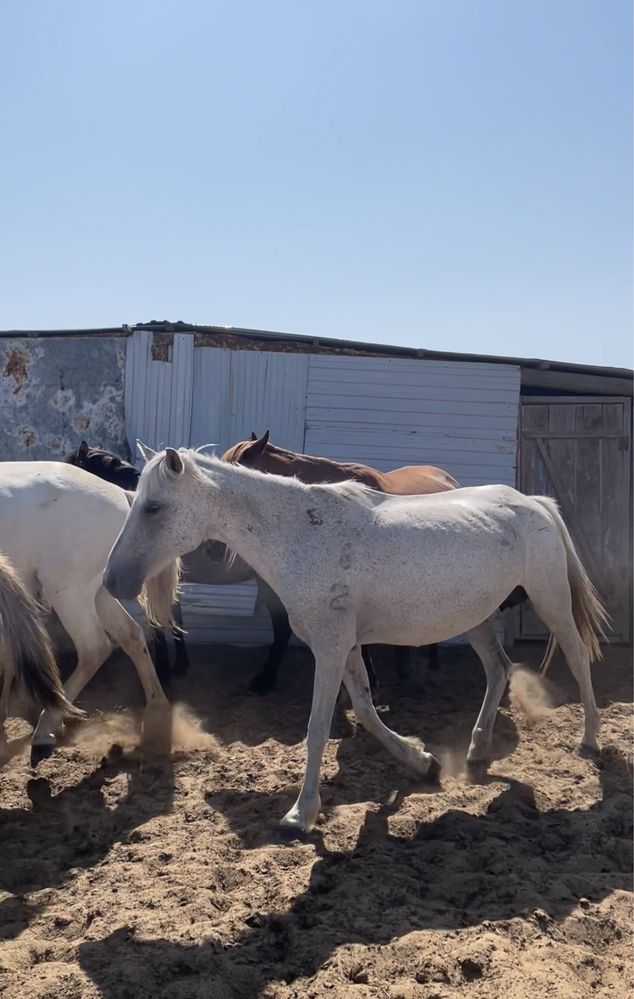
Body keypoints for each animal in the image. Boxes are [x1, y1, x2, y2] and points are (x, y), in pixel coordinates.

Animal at [0, 462, 177, 764]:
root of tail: (121, 495)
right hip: (99, 593)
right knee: (131, 636)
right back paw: (157, 710)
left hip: (69, 591)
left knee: (94, 648)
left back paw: (46, 729)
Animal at [105, 448, 608, 836]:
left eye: (152, 507)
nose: (112, 581)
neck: (303, 536)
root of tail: (533, 502)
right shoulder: (345, 647)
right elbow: (365, 710)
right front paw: (422, 761)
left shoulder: (328, 649)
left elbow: (318, 729)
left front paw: (300, 816)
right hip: (479, 618)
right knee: (499, 669)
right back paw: (477, 748)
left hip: (550, 600)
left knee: (577, 657)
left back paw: (589, 740)